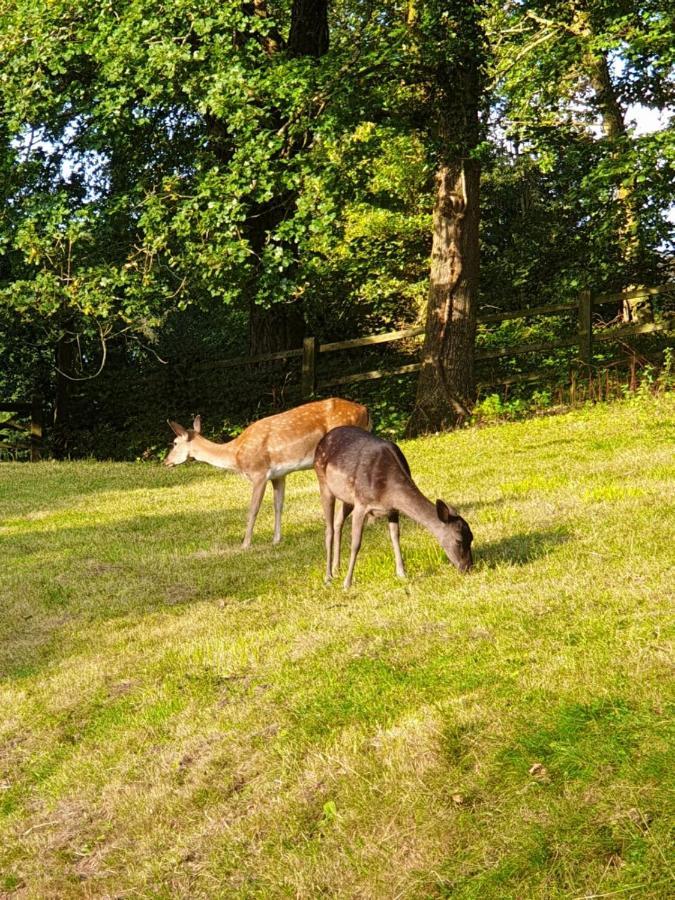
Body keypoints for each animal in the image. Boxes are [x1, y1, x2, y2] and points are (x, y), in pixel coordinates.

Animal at [165, 400, 370, 548]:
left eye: (174, 443)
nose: (166, 461)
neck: (236, 454)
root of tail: (365, 410)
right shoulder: (279, 475)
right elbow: (278, 505)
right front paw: (276, 540)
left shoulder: (259, 473)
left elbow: (253, 509)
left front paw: (245, 544)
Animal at [314, 428, 472, 592]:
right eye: (459, 540)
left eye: (471, 537)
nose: (467, 567)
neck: (389, 491)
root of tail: (323, 440)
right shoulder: (361, 503)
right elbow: (356, 544)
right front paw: (347, 583)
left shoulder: (392, 509)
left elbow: (395, 536)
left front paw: (402, 574)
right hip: (323, 481)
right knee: (329, 529)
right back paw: (328, 576)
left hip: (347, 498)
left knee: (338, 521)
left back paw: (337, 569)